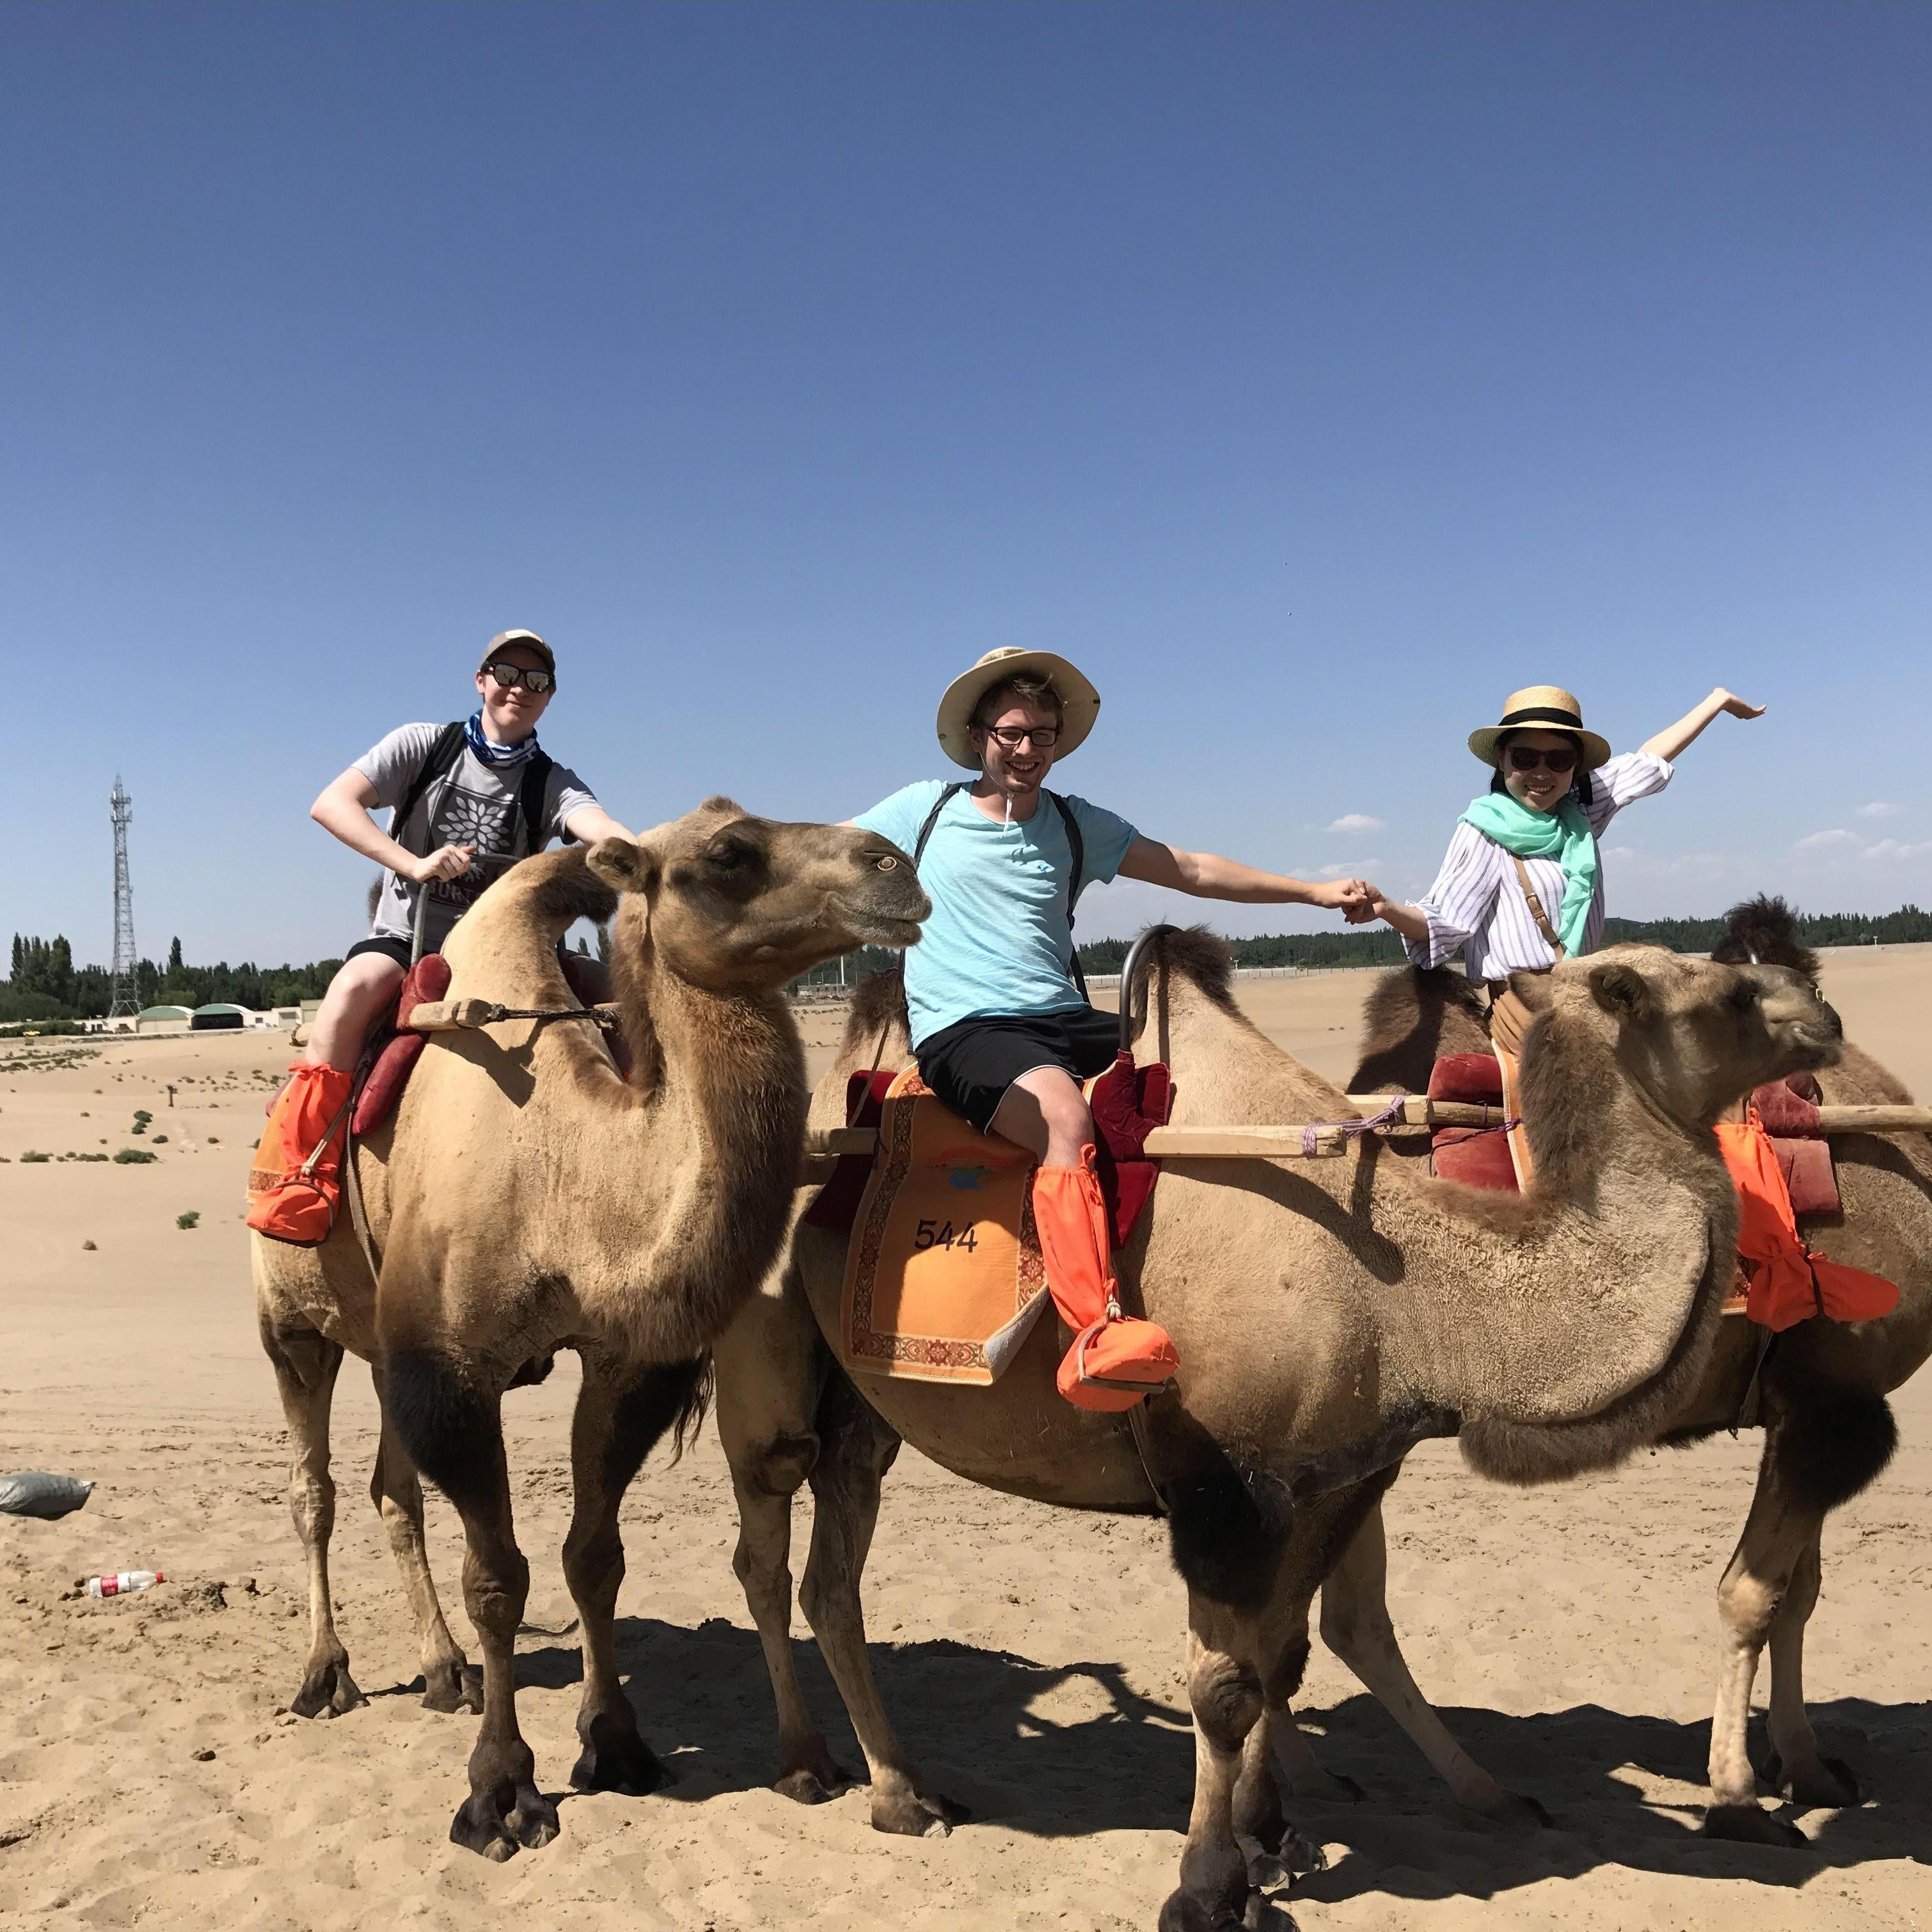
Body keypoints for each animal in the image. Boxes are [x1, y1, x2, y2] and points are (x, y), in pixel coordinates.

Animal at [249, 796, 927, 1855]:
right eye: (728, 853)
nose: (894, 864)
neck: (570, 1176)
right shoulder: (453, 1369)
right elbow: (499, 1578)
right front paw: (501, 1792)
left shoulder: (623, 1362)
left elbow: (593, 1556)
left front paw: (615, 1745)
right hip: (292, 1321)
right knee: (310, 1489)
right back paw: (327, 1676)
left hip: (380, 1342)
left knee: (391, 1492)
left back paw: (443, 1671)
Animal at [715, 927, 1839, 1924]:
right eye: (1721, 993)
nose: (1821, 1012)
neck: (1406, 1295)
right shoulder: (1222, 1485)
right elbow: (1222, 1687)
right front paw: (1205, 1891)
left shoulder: (1325, 1477)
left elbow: (1279, 1659)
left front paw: (1271, 1843)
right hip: (773, 1369)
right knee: (768, 1540)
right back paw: (837, 1776)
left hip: (863, 1412)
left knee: (831, 1573)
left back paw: (897, 1785)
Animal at [1244, 896, 1924, 1847]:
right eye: (1731, 997)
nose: (1821, 1016)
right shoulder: (1837, 1408)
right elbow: (1753, 1597)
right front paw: (1738, 1797)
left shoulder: (1813, 1407)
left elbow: (1800, 1593)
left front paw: (1809, 1767)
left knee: (1335, 1614)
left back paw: (1380, 1782)